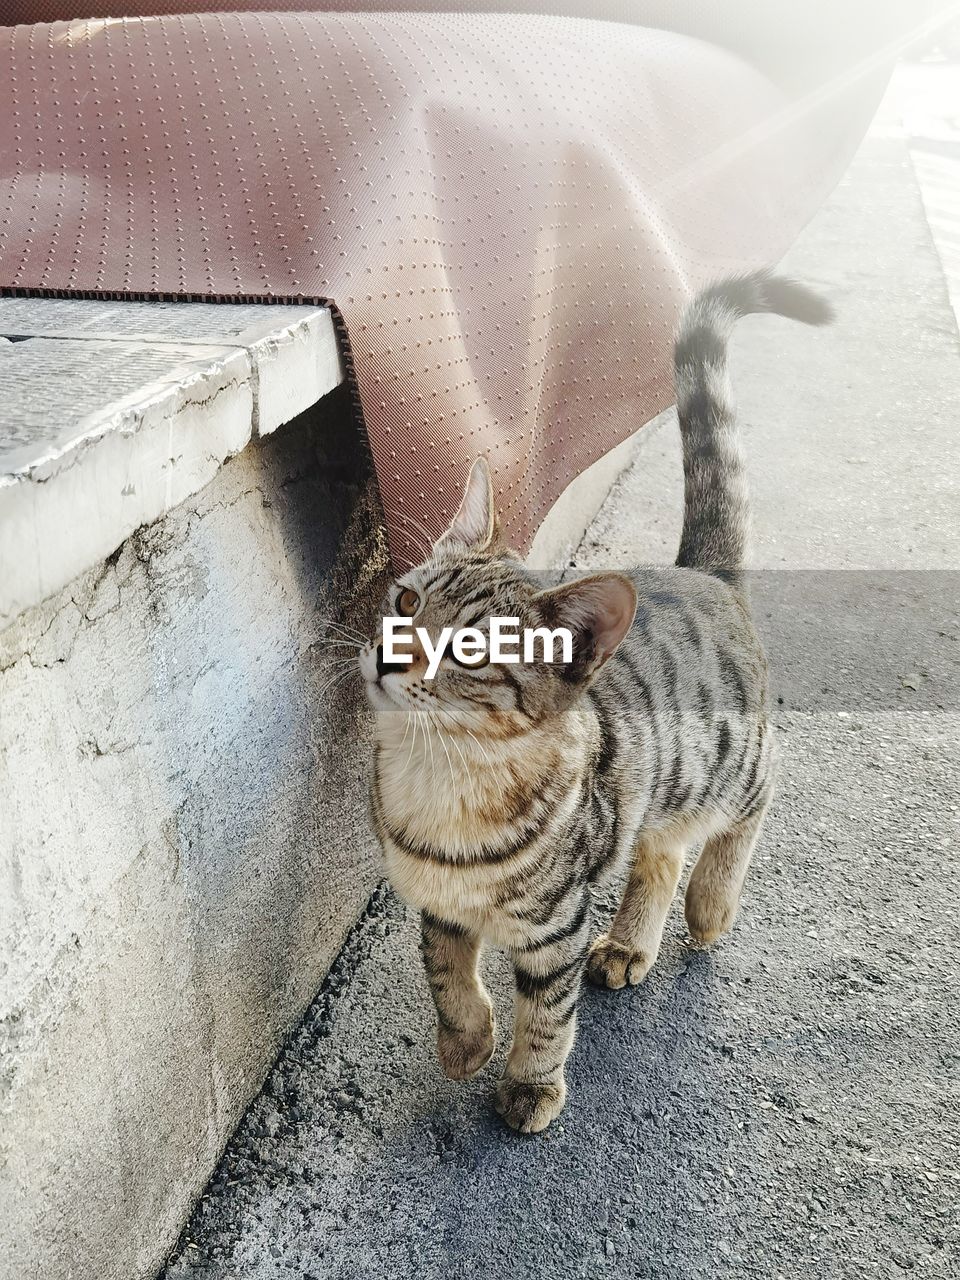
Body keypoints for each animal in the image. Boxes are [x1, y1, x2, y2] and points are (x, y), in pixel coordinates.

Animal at [360, 270, 834, 1131]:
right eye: (406, 601)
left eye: (472, 649)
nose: (386, 655)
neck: (438, 779)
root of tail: (704, 573)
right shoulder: (436, 907)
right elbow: (445, 975)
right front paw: (465, 1042)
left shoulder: (557, 926)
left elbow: (548, 1014)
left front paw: (530, 1083)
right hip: (660, 783)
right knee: (661, 852)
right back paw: (632, 943)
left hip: (729, 759)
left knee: (753, 803)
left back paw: (712, 903)